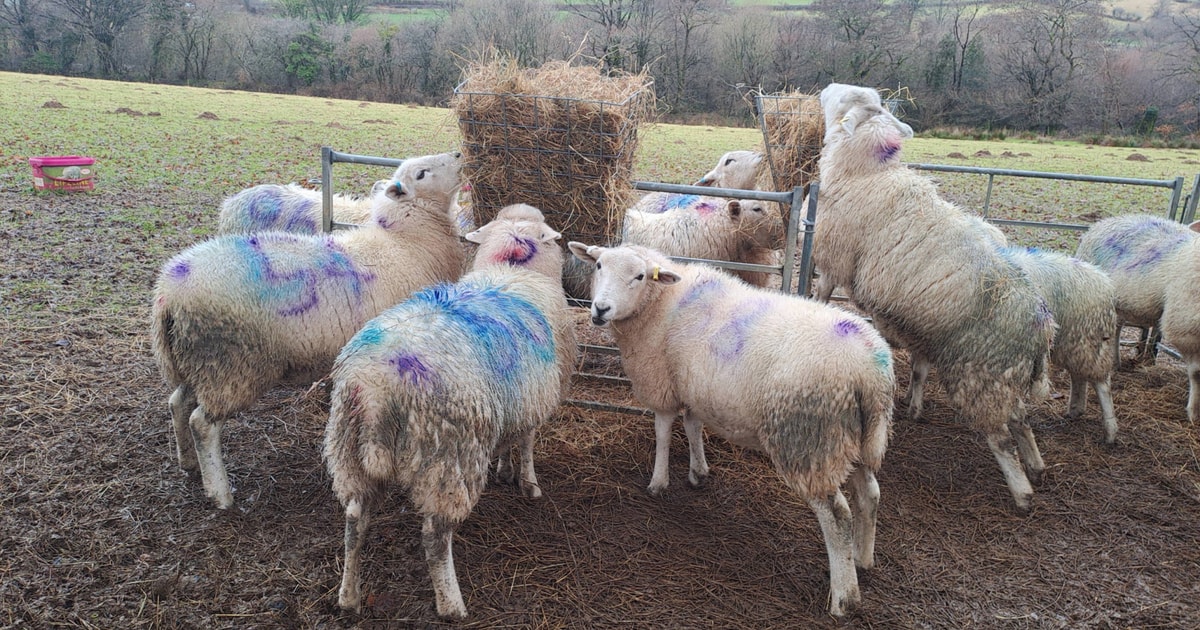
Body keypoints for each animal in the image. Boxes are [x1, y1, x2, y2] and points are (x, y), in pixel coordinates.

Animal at [151, 151, 465, 510]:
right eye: (422, 173)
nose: (459, 154)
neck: (407, 239)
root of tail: (167, 293)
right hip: (229, 365)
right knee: (202, 424)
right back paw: (220, 492)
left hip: (198, 360)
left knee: (177, 403)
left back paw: (187, 461)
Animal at [325, 208, 575, 619]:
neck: (512, 266)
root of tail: (377, 387)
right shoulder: (534, 399)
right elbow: (526, 443)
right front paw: (528, 482)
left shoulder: (512, 400)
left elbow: (509, 441)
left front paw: (504, 467)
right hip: (447, 454)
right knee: (434, 537)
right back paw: (451, 603)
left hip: (349, 449)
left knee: (354, 523)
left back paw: (349, 596)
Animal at [568, 242, 894, 618]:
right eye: (599, 266)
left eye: (638, 276)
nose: (600, 309)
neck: (660, 302)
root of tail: (870, 372)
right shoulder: (694, 386)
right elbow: (692, 425)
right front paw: (698, 471)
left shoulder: (662, 381)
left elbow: (663, 431)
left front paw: (658, 482)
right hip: (857, 439)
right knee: (870, 493)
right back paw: (862, 557)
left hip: (809, 439)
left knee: (838, 515)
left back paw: (844, 597)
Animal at [815, 85, 1055, 513]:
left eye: (846, 100)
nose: (825, 88)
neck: (867, 171)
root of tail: (1043, 328)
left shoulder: (835, 256)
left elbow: (824, 290)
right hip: (1002, 376)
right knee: (1021, 418)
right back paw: (1037, 465)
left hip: (981, 373)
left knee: (1001, 436)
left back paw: (1023, 492)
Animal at [1076, 214, 1200, 423]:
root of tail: (1106, 221)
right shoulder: (1185, 329)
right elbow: (1197, 373)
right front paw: (1194, 413)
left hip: (1119, 302)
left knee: (1117, 327)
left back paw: (1116, 361)